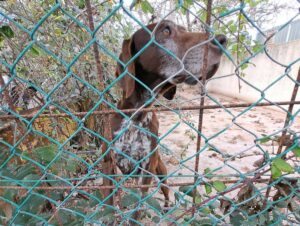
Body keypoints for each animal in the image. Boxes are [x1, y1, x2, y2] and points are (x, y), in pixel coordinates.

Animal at [105, 20, 225, 207]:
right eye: (165, 30)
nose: (222, 40)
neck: (137, 115)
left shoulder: (147, 166)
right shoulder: (108, 164)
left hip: (161, 170)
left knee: (166, 191)